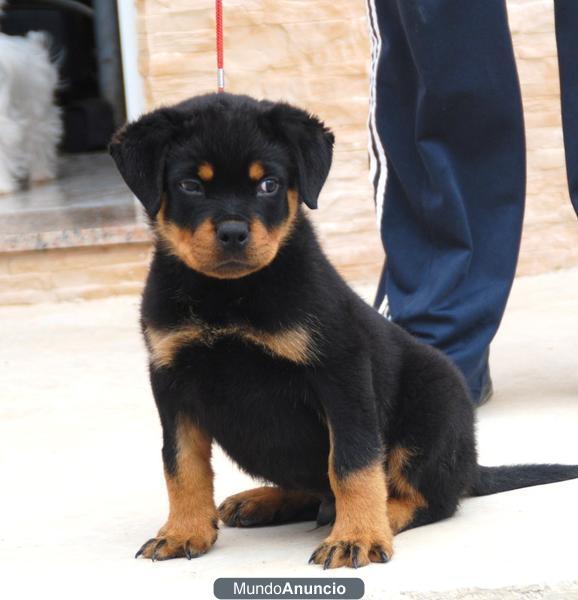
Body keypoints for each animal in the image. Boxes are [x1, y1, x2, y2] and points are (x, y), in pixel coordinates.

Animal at [109, 92, 576, 568]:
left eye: (268, 185)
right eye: (190, 185)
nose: (234, 233)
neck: (228, 295)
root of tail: (469, 463)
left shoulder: (341, 372)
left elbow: (352, 463)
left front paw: (357, 537)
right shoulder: (171, 379)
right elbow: (181, 463)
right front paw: (183, 531)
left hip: (430, 411)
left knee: (431, 498)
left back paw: (376, 516)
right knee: (313, 486)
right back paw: (263, 500)